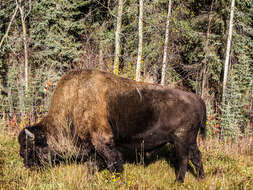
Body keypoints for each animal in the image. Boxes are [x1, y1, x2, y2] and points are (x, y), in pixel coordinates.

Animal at [18, 69, 207, 182]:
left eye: (29, 148)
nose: (28, 165)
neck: (73, 104)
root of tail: (196, 98)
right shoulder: (95, 147)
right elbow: (93, 164)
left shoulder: (103, 141)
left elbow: (112, 161)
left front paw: (117, 178)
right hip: (190, 141)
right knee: (196, 157)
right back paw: (201, 179)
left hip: (180, 140)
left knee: (183, 159)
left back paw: (178, 181)